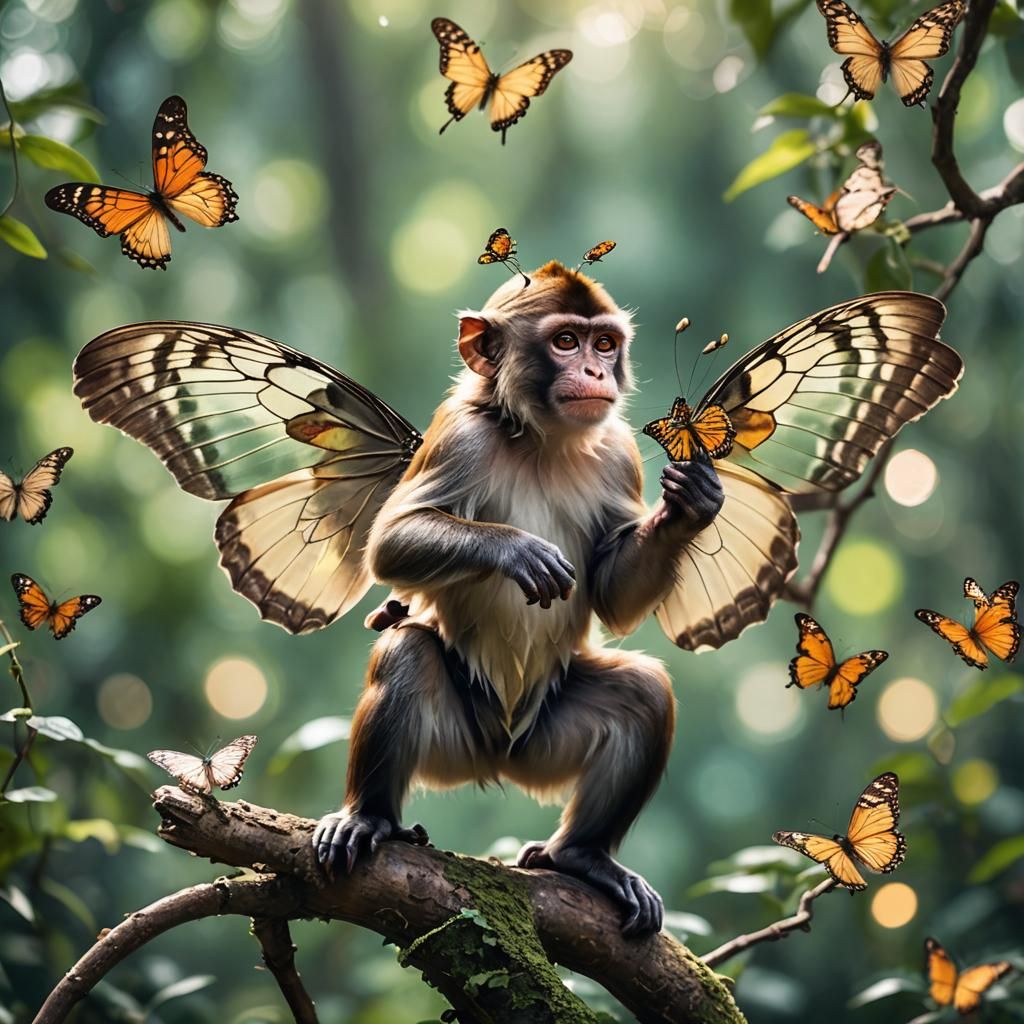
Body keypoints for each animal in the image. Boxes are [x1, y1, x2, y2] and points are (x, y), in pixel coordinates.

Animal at [312, 260, 724, 936]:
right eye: (566, 341)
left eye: (604, 344)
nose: (596, 373)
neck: (541, 441)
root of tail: (497, 757)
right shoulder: (459, 435)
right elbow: (391, 543)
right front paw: (516, 550)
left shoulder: (619, 453)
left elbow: (612, 594)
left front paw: (692, 503)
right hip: (455, 738)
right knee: (406, 655)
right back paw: (371, 817)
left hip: (543, 740)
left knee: (643, 693)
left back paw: (581, 857)